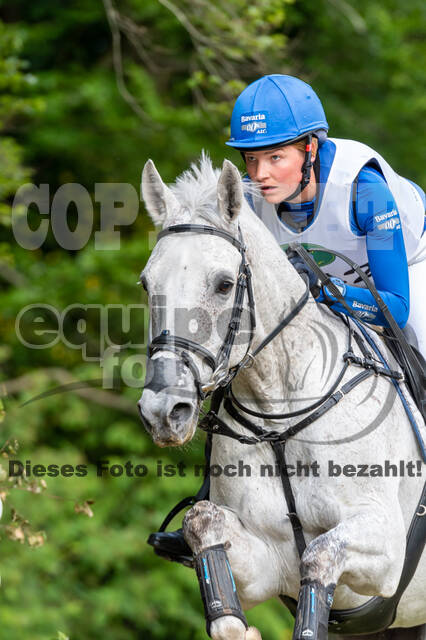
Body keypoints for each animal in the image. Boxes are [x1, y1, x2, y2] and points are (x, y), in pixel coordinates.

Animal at [138, 155, 426, 640]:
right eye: (146, 284)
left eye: (223, 284)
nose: (162, 411)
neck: (279, 417)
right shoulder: (266, 564)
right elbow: (202, 525)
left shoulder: (384, 550)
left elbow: (320, 553)